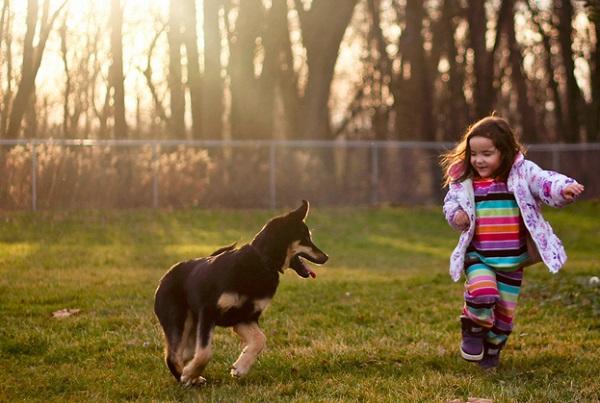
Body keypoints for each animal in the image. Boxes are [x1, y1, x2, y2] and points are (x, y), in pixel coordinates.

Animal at [152, 200, 326, 386]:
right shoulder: (209, 312)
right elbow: (205, 353)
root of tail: (166, 275)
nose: (326, 257)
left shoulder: (244, 317)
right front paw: (189, 373)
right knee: (173, 356)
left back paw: (193, 376)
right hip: (179, 320)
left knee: (185, 354)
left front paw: (240, 367)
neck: (261, 262)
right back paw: (186, 377)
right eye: (306, 239)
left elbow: (260, 339)